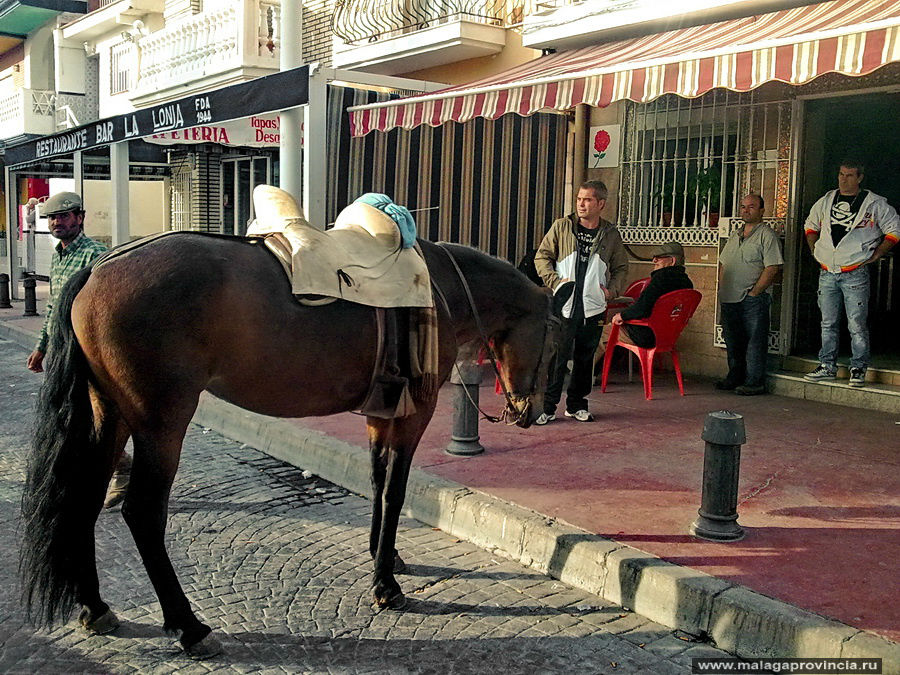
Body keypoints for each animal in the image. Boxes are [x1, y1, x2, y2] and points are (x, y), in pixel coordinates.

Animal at [19, 234, 556, 660]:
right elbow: (394, 492)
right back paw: (189, 626)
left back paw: (95, 606)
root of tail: (99, 267)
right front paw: (386, 585)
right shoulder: (412, 416)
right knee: (143, 513)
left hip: (109, 416)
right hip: (160, 425)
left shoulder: (381, 415)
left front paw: (385, 555)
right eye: (557, 339)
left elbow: (377, 481)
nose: (533, 411)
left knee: (85, 500)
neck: (436, 287)